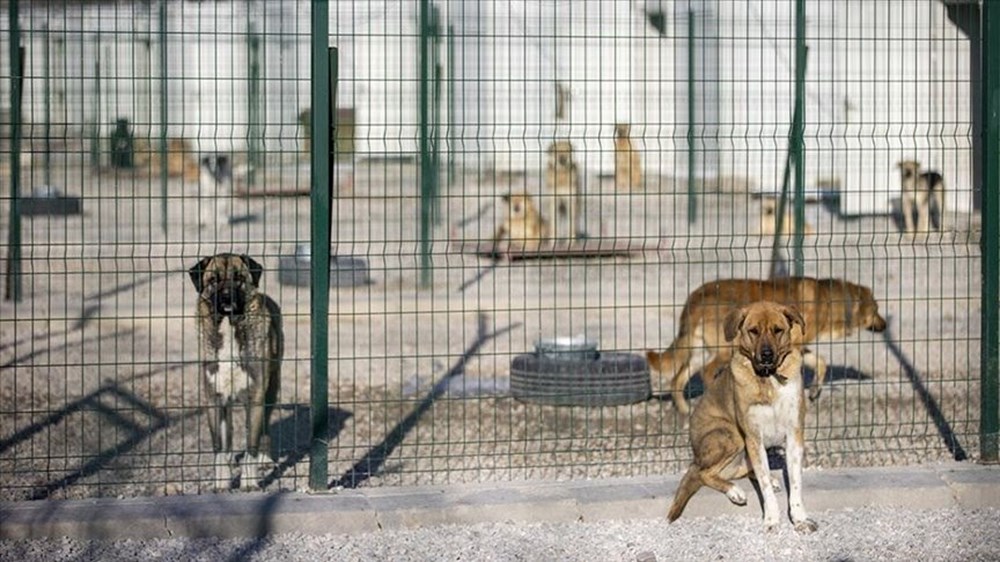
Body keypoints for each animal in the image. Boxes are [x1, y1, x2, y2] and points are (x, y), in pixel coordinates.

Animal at [189, 252, 284, 488]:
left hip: (271, 389)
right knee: (229, 431)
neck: (229, 326)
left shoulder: (256, 398)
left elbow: (251, 444)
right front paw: (222, 482)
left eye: (239, 277)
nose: (226, 297)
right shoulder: (214, 398)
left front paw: (249, 482)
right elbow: (218, 446)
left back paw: (265, 459)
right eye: (213, 280)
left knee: (265, 429)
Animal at [648, 274, 892, 412]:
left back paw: (684, 410)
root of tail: (695, 297)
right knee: (707, 373)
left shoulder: (796, 348)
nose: (885, 325)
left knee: (678, 379)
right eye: (876, 310)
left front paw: (814, 390)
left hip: (698, 351)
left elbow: (820, 362)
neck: (832, 302)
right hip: (724, 350)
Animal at [668, 300, 816, 532]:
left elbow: (795, 484)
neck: (769, 379)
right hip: (731, 436)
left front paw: (800, 518)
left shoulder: (794, 435)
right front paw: (772, 519)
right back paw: (734, 490)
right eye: (753, 331)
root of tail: (695, 455)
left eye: (778, 330)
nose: (767, 354)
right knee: (703, 473)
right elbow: (764, 487)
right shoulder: (753, 438)